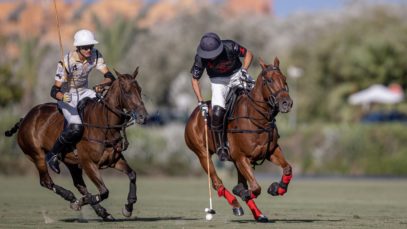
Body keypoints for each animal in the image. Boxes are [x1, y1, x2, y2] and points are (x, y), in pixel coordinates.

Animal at [4, 67, 148, 220]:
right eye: (127, 91)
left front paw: (128, 207)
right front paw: (80, 202)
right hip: (37, 155)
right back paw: (71, 197)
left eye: (139, 89)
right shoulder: (88, 163)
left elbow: (132, 175)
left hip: (71, 162)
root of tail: (24, 119)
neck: (105, 126)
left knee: (79, 185)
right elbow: (104, 191)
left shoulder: (114, 160)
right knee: (46, 181)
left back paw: (101, 211)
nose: (143, 116)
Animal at [185, 56, 294, 222]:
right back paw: (236, 205)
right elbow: (255, 188)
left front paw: (277, 188)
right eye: (269, 80)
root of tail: (193, 115)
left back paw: (259, 214)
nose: (286, 103)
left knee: (238, 183)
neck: (257, 120)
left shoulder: (271, 151)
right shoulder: (242, 157)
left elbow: (288, 168)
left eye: (285, 79)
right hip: (203, 154)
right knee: (217, 183)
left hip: (235, 161)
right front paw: (244, 193)